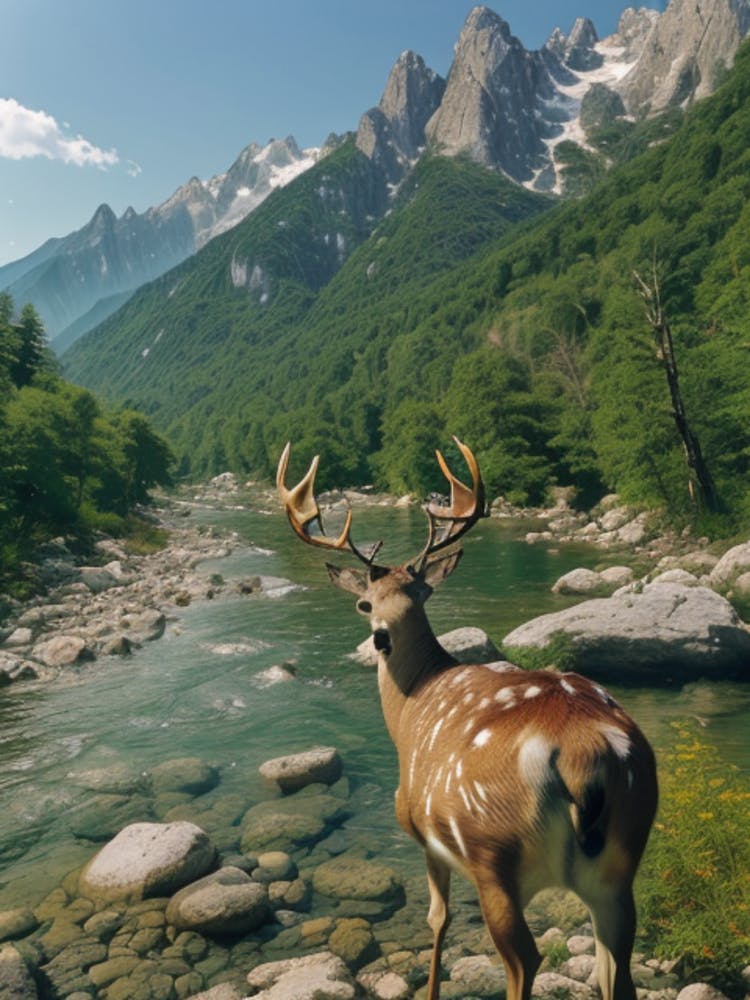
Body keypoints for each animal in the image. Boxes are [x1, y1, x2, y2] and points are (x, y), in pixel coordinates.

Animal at [277, 438, 658, 1000]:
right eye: (366, 601)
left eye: (420, 593)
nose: (382, 636)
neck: (410, 708)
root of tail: (585, 754)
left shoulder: (423, 832)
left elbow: (438, 919)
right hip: (621, 860)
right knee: (617, 973)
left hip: (491, 850)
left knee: (524, 959)